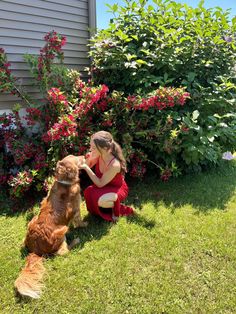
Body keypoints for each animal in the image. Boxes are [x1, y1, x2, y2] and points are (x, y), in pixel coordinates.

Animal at [13, 155, 86, 300]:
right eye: (77, 158)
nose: (85, 155)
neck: (65, 182)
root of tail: (35, 250)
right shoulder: (76, 208)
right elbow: (79, 220)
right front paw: (85, 224)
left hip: (31, 221)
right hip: (62, 231)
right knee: (62, 252)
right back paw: (75, 241)